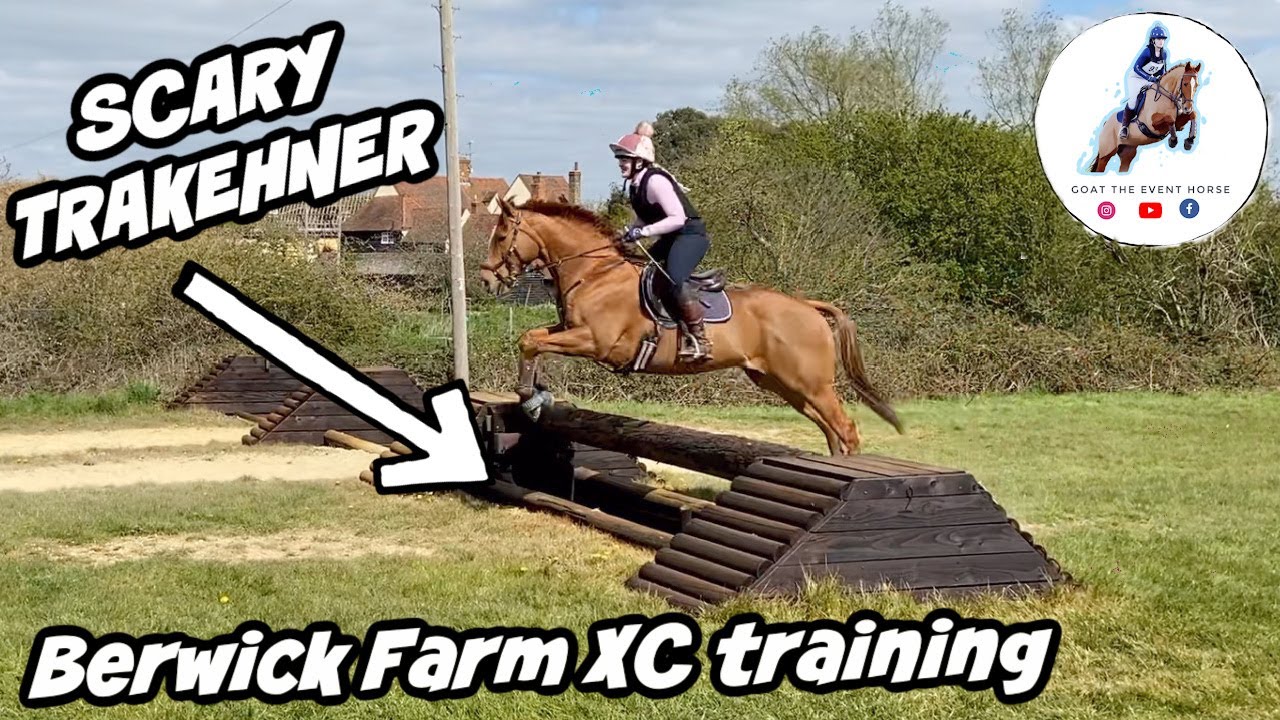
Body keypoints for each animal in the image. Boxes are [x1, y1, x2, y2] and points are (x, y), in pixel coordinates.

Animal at [476, 196, 903, 456]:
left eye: (501, 235)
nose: (486, 279)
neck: (594, 273)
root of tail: (808, 307)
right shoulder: (569, 331)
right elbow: (532, 337)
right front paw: (536, 394)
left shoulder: (597, 342)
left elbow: (531, 340)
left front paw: (528, 396)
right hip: (783, 384)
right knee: (831, 430)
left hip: (810, 384)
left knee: (845, 428)